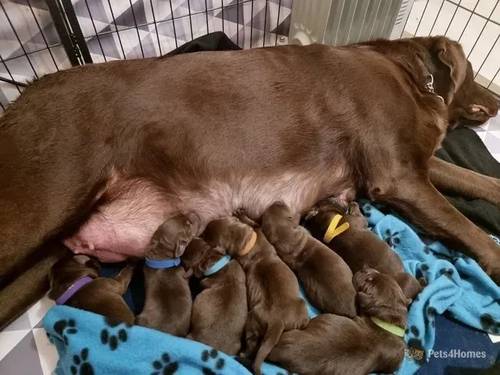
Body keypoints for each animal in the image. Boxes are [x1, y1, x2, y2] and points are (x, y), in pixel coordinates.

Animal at [0, 36, 500, 328]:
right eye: (475, 72)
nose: (496, 101)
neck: (410, 76)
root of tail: (20, 98)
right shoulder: (397, 176)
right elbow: (470, 229)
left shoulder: (417, 167)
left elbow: (476, 181)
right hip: (41, 205)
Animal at [203, 217, 308, 375]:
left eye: (207, 238)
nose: (201, 234)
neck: (247, 243)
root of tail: (277, 322)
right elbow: (256, 225)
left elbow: (255, 225)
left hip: (255, 322)